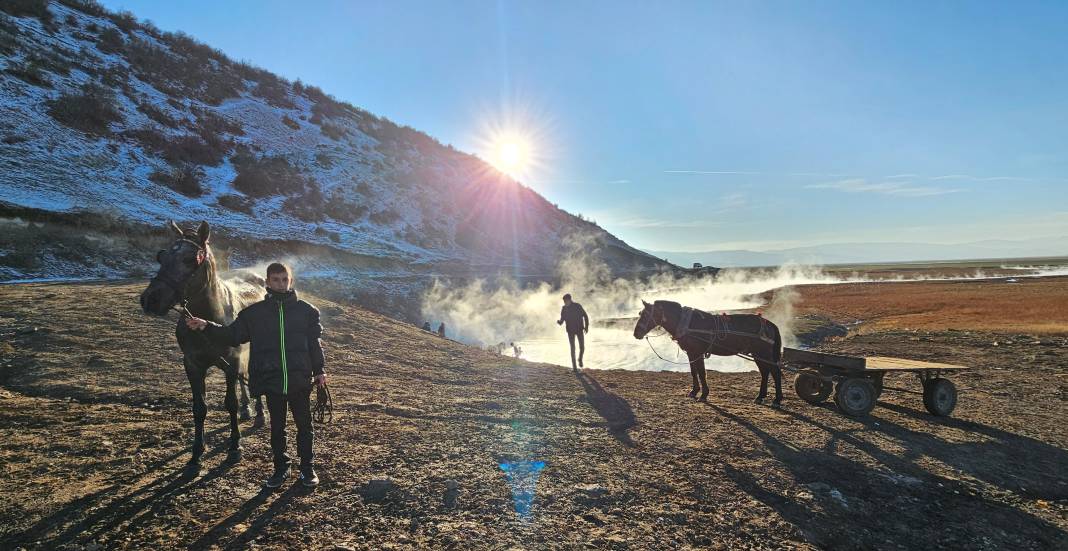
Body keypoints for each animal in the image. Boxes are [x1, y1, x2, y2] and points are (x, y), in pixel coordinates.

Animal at [138, 219, 263, 465]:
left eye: (189, 259)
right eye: (161, 256)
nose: (150, 299)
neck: (210, 318)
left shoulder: (231, 362)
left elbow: (230, 403)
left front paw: (235, 445)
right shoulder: (193, 365)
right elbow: (199, 408)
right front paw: (197, 451)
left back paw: (259, 413)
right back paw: (248, 408)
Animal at [632, 301, 786, 403]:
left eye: (646, 315)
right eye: (640, 313)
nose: (636, 333)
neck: (687, 323)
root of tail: (769, 324)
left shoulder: (697, 353)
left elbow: (701, 373)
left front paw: (703, 394)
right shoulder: (691, 353)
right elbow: (694, 372)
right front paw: (694, 391)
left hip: (764, 353)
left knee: (775, 372)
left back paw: (777, 399)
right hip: (757, 354)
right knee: (765, 372)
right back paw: (760, 396)